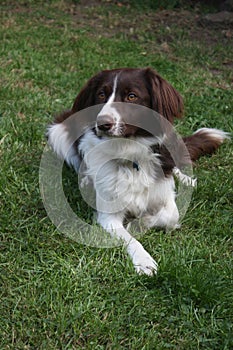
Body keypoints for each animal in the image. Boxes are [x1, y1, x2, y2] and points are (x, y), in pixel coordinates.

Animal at [46, 67, 228, 276]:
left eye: (131, 96)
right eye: (101, 94)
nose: (102, 123)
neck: (130, 155)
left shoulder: (166, 198)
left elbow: (170, 216)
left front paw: (138, 223)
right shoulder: (108, 216)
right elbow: (129, 238)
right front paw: (144, 261)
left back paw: (187, 179)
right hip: (58, 133)